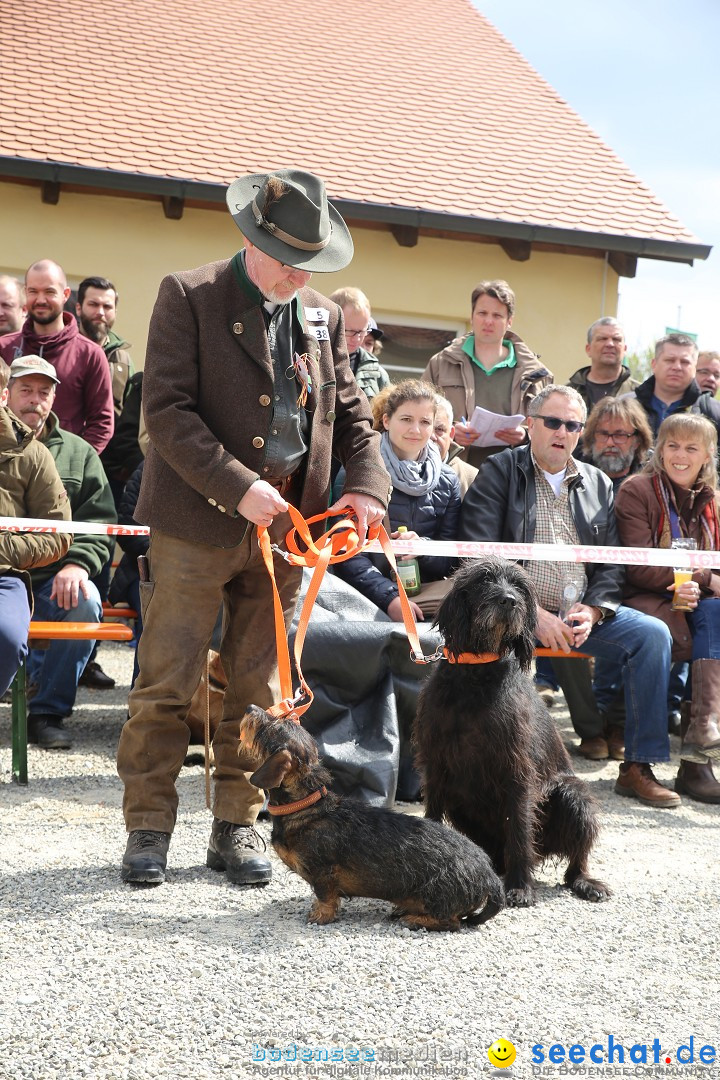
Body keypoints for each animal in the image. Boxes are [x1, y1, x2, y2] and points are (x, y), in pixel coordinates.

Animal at [239, 708, 505, 928]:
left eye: (271, 727)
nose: (250, 708)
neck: (305, 806)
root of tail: (490, 876)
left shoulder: (323, 872)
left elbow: (325, 896)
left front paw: (320, 915)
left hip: (437, 893)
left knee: (452, 922)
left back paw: (414, 919)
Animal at [414, 561, 613, 907]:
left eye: (520, 586)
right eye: (484, 579)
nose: (508, 601)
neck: (477, 673)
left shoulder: (515, 771)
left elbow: (519, 830)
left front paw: (520, 887)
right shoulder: (437, 766)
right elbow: (433, 818)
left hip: (573, 794)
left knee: (573, 860)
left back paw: (584, 882)